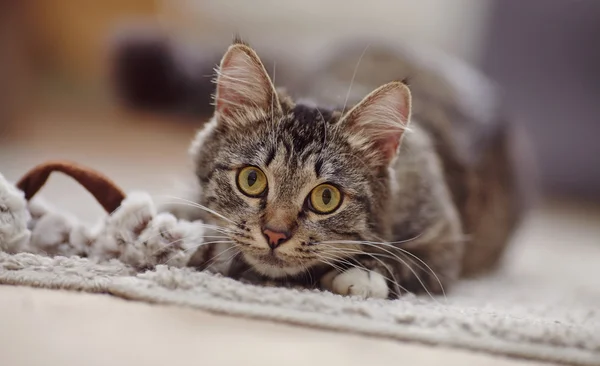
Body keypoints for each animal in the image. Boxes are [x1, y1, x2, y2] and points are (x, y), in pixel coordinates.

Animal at [162, 38, 532, 298]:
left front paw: (362, 275)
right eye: (251, 179)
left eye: (326, 198)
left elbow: (403, 260)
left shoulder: (445, 242)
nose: (274, 234)